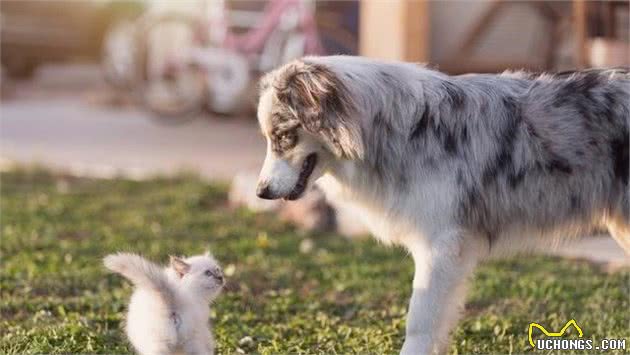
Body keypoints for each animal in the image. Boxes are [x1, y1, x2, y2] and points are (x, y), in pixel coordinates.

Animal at [254, 55, 628, 354]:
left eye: (283, 136)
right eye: (270, 138)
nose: (261, 192)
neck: (397, 132)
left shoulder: (441, 245)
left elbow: (420, 321)